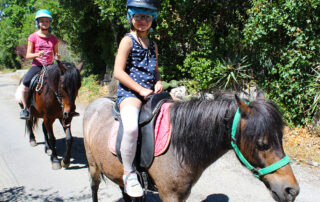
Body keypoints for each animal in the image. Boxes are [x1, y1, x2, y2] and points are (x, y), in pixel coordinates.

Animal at [83, 92, 300, 202]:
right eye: (262, 144)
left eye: (281, 139)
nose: (292, 191)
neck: (179, 146)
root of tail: (94, 104)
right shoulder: (169, 195)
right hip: (93, 166)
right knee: (94, 188)